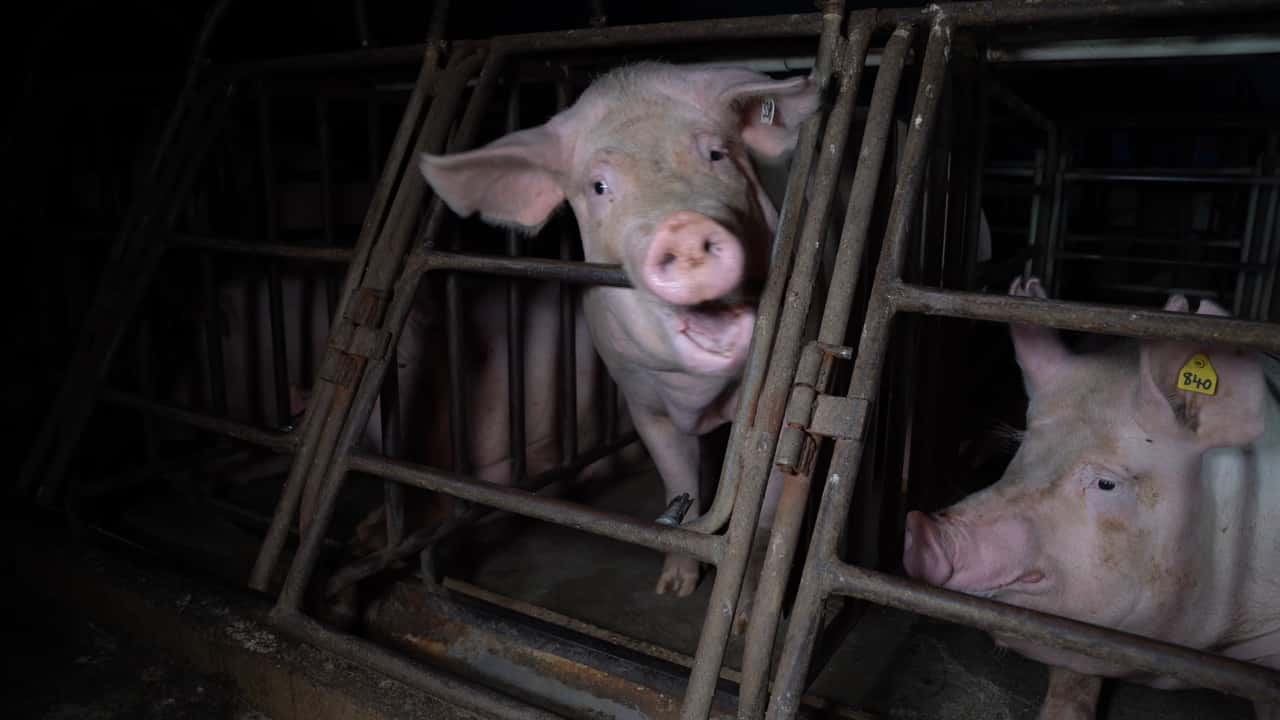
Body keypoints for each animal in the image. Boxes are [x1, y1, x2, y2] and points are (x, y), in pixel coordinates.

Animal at [419, 63, 819, 599]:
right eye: (599, 187)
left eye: (716, 153)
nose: (683, 227)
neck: (700, 398)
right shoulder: (641, 400)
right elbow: (678, 481)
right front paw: (673, 588)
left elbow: (768, 509)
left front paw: (745, 602)